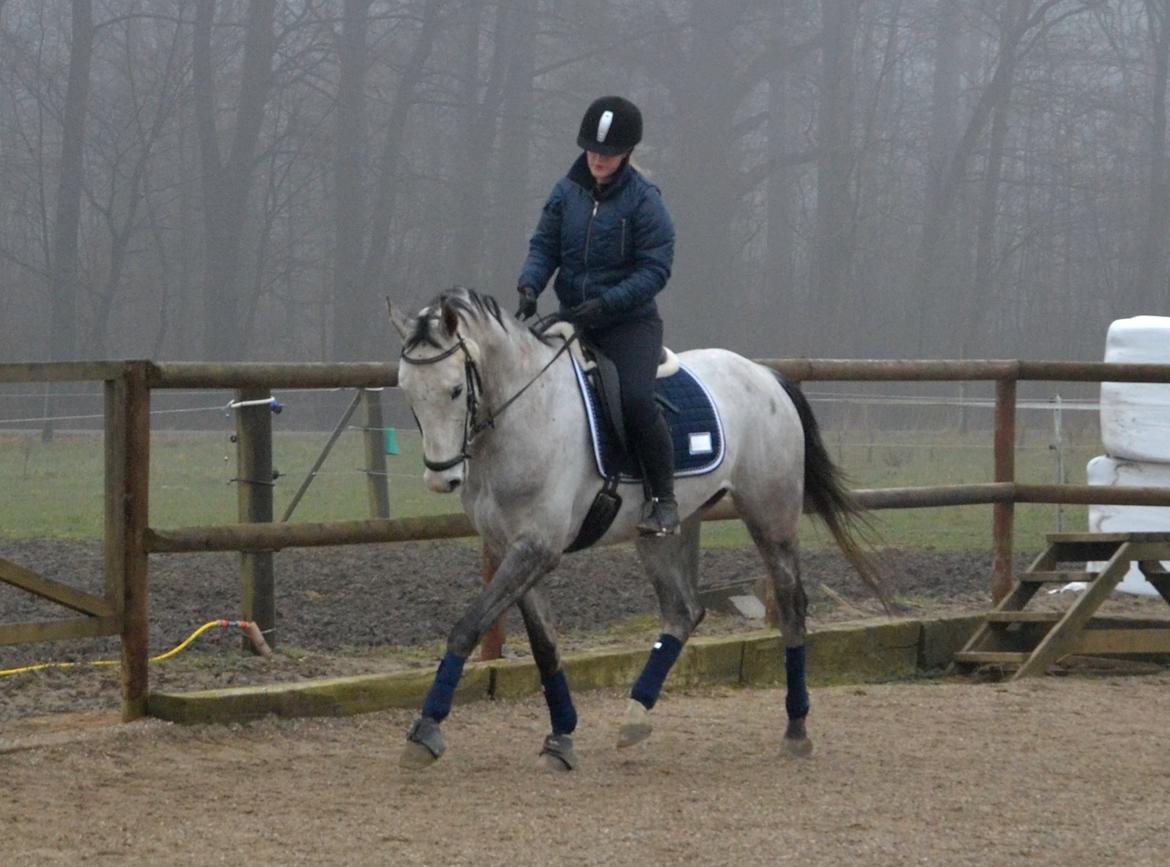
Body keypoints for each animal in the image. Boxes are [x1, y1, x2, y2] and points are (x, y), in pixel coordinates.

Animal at [386, 287, 884, 767]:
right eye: (406, 391)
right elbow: (544, 645)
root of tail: (765, 375)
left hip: (770, 515)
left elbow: (468, 626)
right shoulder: (514, 547)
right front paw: (561, 736)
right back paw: (635, 717)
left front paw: (425, 731)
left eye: (455, 389)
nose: (441, 478)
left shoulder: (537, 548)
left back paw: (796, 730)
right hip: (665, 531)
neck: (524, 416)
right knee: (684, 611)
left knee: (792, 606)